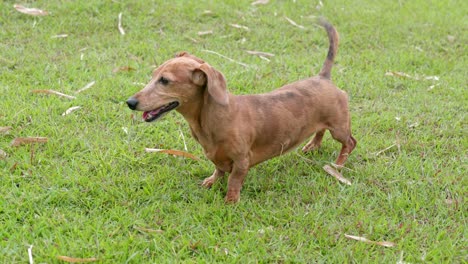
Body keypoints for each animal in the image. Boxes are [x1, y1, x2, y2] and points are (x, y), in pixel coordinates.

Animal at [126, 21, 356, 202]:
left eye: (165, 81)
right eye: (153, 75)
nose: (130, 102)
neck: (212, 118)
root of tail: (323, 77)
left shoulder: (242, 161)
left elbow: (233, 181)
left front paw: (230, 201)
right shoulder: (216, 156)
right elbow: (218, 169)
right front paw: (211, 181)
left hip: (339, 128)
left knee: (350, 142)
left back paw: (338, 166)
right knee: (320, 130)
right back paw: (312, 145)